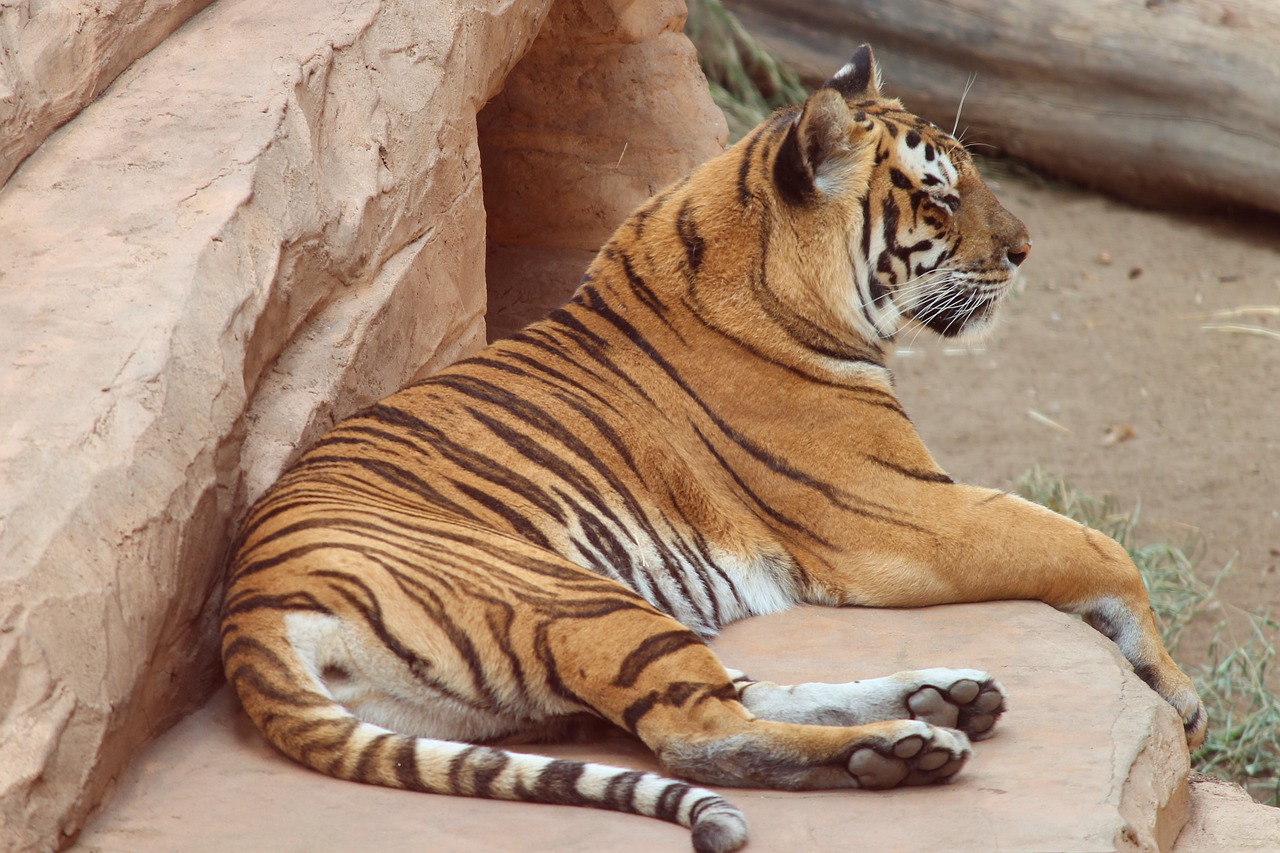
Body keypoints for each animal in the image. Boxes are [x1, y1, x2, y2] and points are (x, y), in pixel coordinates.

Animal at [222, 46, 1208, 850]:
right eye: (939, 194)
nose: (1026, 248)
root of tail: (246, 618)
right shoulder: (903, 512)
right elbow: (1097, 546)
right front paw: (1176, 691)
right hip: (575, 597)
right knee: (703, 733)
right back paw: (902, 748)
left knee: (731, 691)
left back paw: (941, 698)